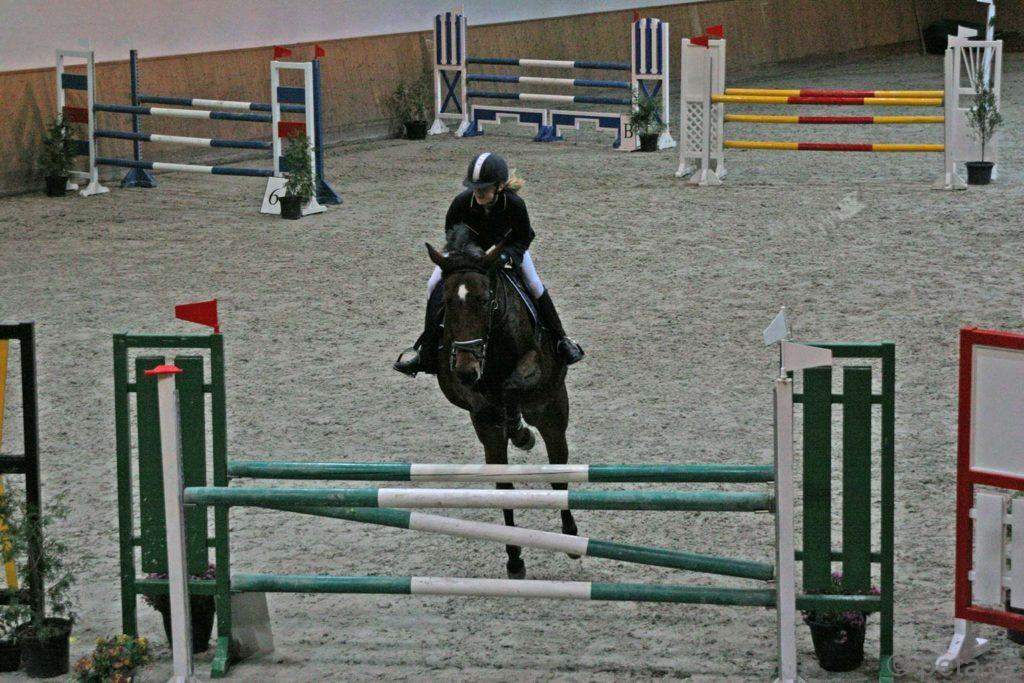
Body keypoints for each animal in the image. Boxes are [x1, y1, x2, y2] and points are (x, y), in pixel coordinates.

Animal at [425, 224, 576, 579]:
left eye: (485, 300)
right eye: (447, 302)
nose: (468, 369)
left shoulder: (532, 363)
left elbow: (510, 386)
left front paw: (520, 432)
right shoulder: (459, 380)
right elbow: (483, 400)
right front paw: (509, 422)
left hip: (552, 411)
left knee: (558, 469)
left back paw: (570, 536)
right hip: (493, 440)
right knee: (504, 484)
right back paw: (514, 558)